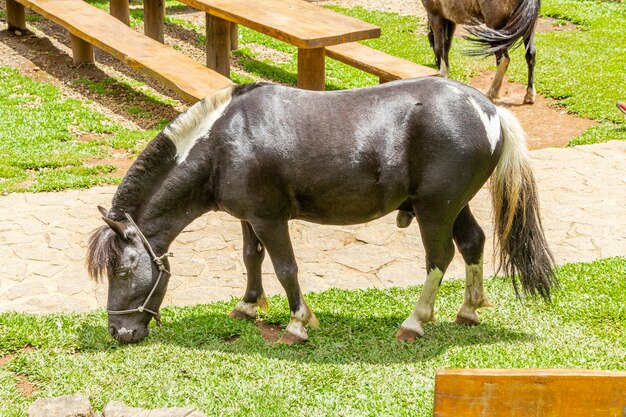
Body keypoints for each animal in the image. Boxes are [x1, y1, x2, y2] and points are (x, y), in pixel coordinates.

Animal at [85, 78, 552, 344]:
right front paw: (249, 306)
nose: (118, 332)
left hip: (435, 210)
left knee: (440, 258)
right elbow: (251, 258)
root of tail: (489, 110)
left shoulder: (270, 219)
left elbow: (285, 268)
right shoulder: (249, 218)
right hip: (454, 206)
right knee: (473, 242)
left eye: (123, 271)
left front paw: (297, 324)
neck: (222, 142)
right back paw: (469, 309)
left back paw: (415, 322)